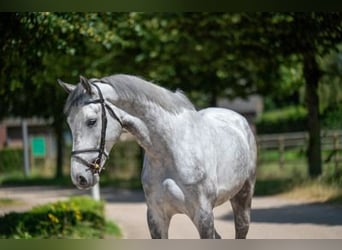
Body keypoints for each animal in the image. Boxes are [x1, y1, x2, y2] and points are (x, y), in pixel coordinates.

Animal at [58, 74, 256, 238]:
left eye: (91, 121)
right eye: (69, 123)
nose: (79, 177)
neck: (171, 151)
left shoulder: (204, 216)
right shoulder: (156, 217)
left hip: (243, 198)